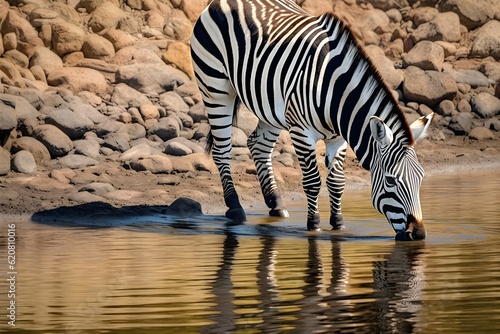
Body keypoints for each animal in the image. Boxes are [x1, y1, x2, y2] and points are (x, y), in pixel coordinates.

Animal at [189, 0, 432, 240]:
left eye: (421, 177)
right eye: (390, 181)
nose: (418, 234)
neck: (335, 94)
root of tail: (222, 1)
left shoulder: (339, 138)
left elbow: (337, 182)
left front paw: (338, 224)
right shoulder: (301, 131)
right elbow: (313, 181)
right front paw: (314, 224)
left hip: (271, 106)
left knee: (258, 145)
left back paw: (276, 203)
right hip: (215, 86)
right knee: (222, 150)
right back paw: (235, 207)